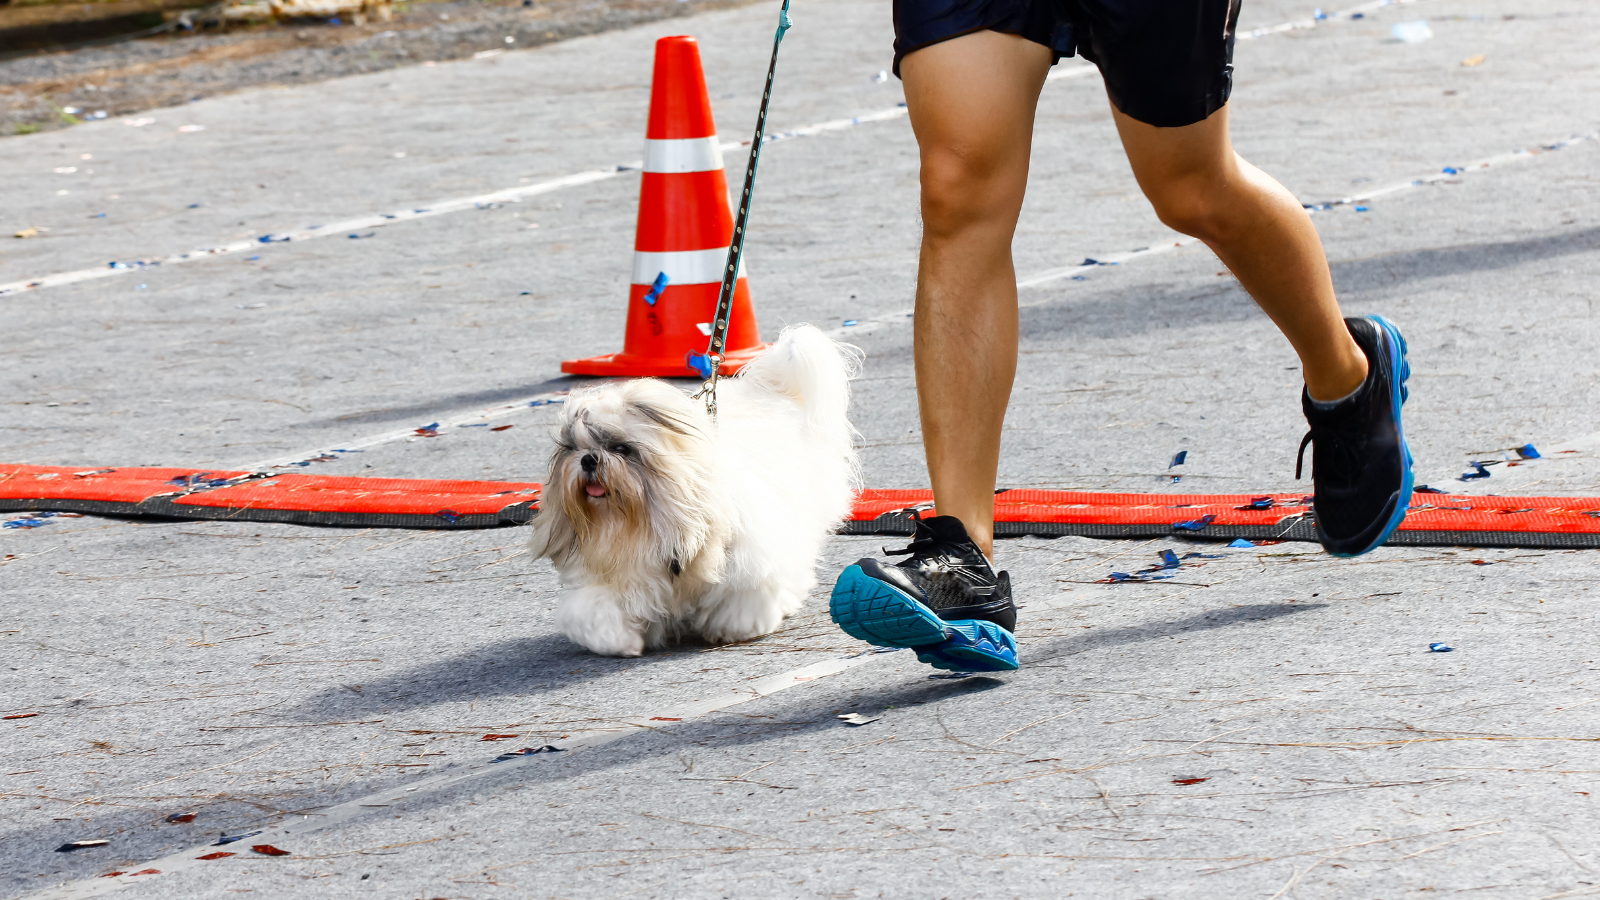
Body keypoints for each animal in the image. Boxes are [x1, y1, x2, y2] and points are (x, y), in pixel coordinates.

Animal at [528, 321, 857, 650]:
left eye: (621, 449)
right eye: (573, 448)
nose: (588, 460)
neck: (640, 523)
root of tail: (774, 389)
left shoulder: (746, 561)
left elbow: (742, 600)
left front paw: (732, 628)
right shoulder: (616, 576)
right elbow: (593, 612)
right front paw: (621, 641)